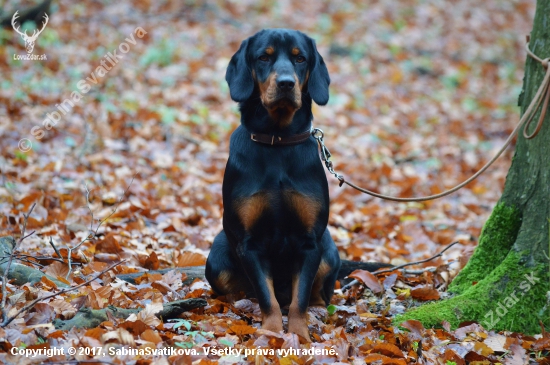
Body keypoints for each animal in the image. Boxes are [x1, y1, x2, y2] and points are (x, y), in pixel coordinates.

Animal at [205, 29, 390, 342]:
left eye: (300, 58)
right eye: (263, 57)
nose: (286, 83)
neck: (278, 142)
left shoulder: (309, 241)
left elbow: (299, 298)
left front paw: (300, 336)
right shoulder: (249, 243)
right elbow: (267, 298)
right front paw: (270, 334)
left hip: (329, 249)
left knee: (316, 294)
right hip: (216, 259)